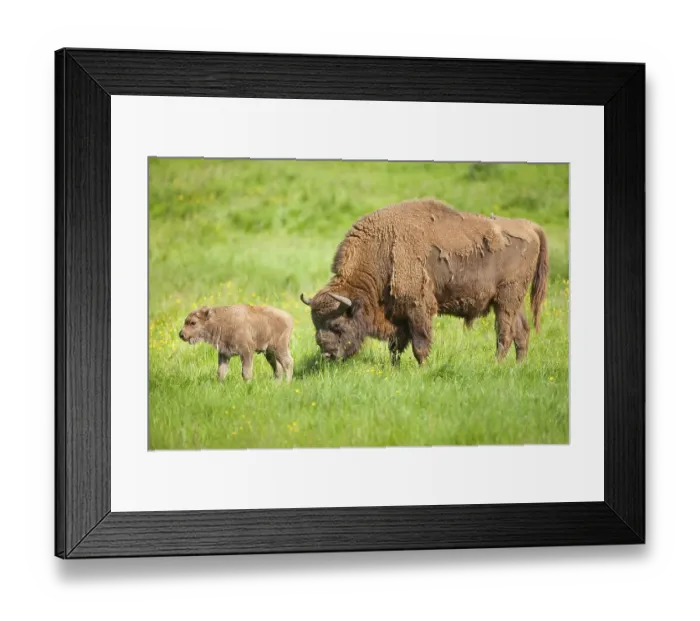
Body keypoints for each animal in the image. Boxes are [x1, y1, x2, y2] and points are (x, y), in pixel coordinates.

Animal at [301, 199, 549, 366]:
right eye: (316, 324)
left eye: (337, 325)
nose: (327, 354)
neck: (382, 248)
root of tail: (530, 226)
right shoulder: (397, 314)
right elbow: (395, 346)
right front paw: (395, 369)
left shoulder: (418, 308)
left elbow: (420, 344)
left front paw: (423, 368)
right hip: (512, 302)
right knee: (522, 331)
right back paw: (518, 366)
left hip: (506, 300)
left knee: (504, 333)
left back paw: (496, 364)